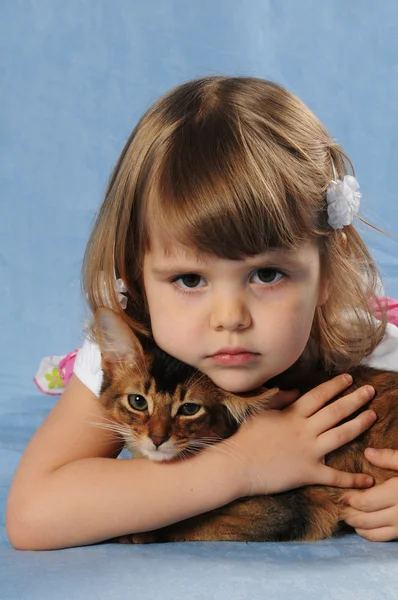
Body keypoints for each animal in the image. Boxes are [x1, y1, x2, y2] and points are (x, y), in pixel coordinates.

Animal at [94, 310, 398, 544]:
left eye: (189, 409)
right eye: (138, 401)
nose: (157, 438)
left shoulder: (297, 509)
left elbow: (193, 519)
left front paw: (137, 532)